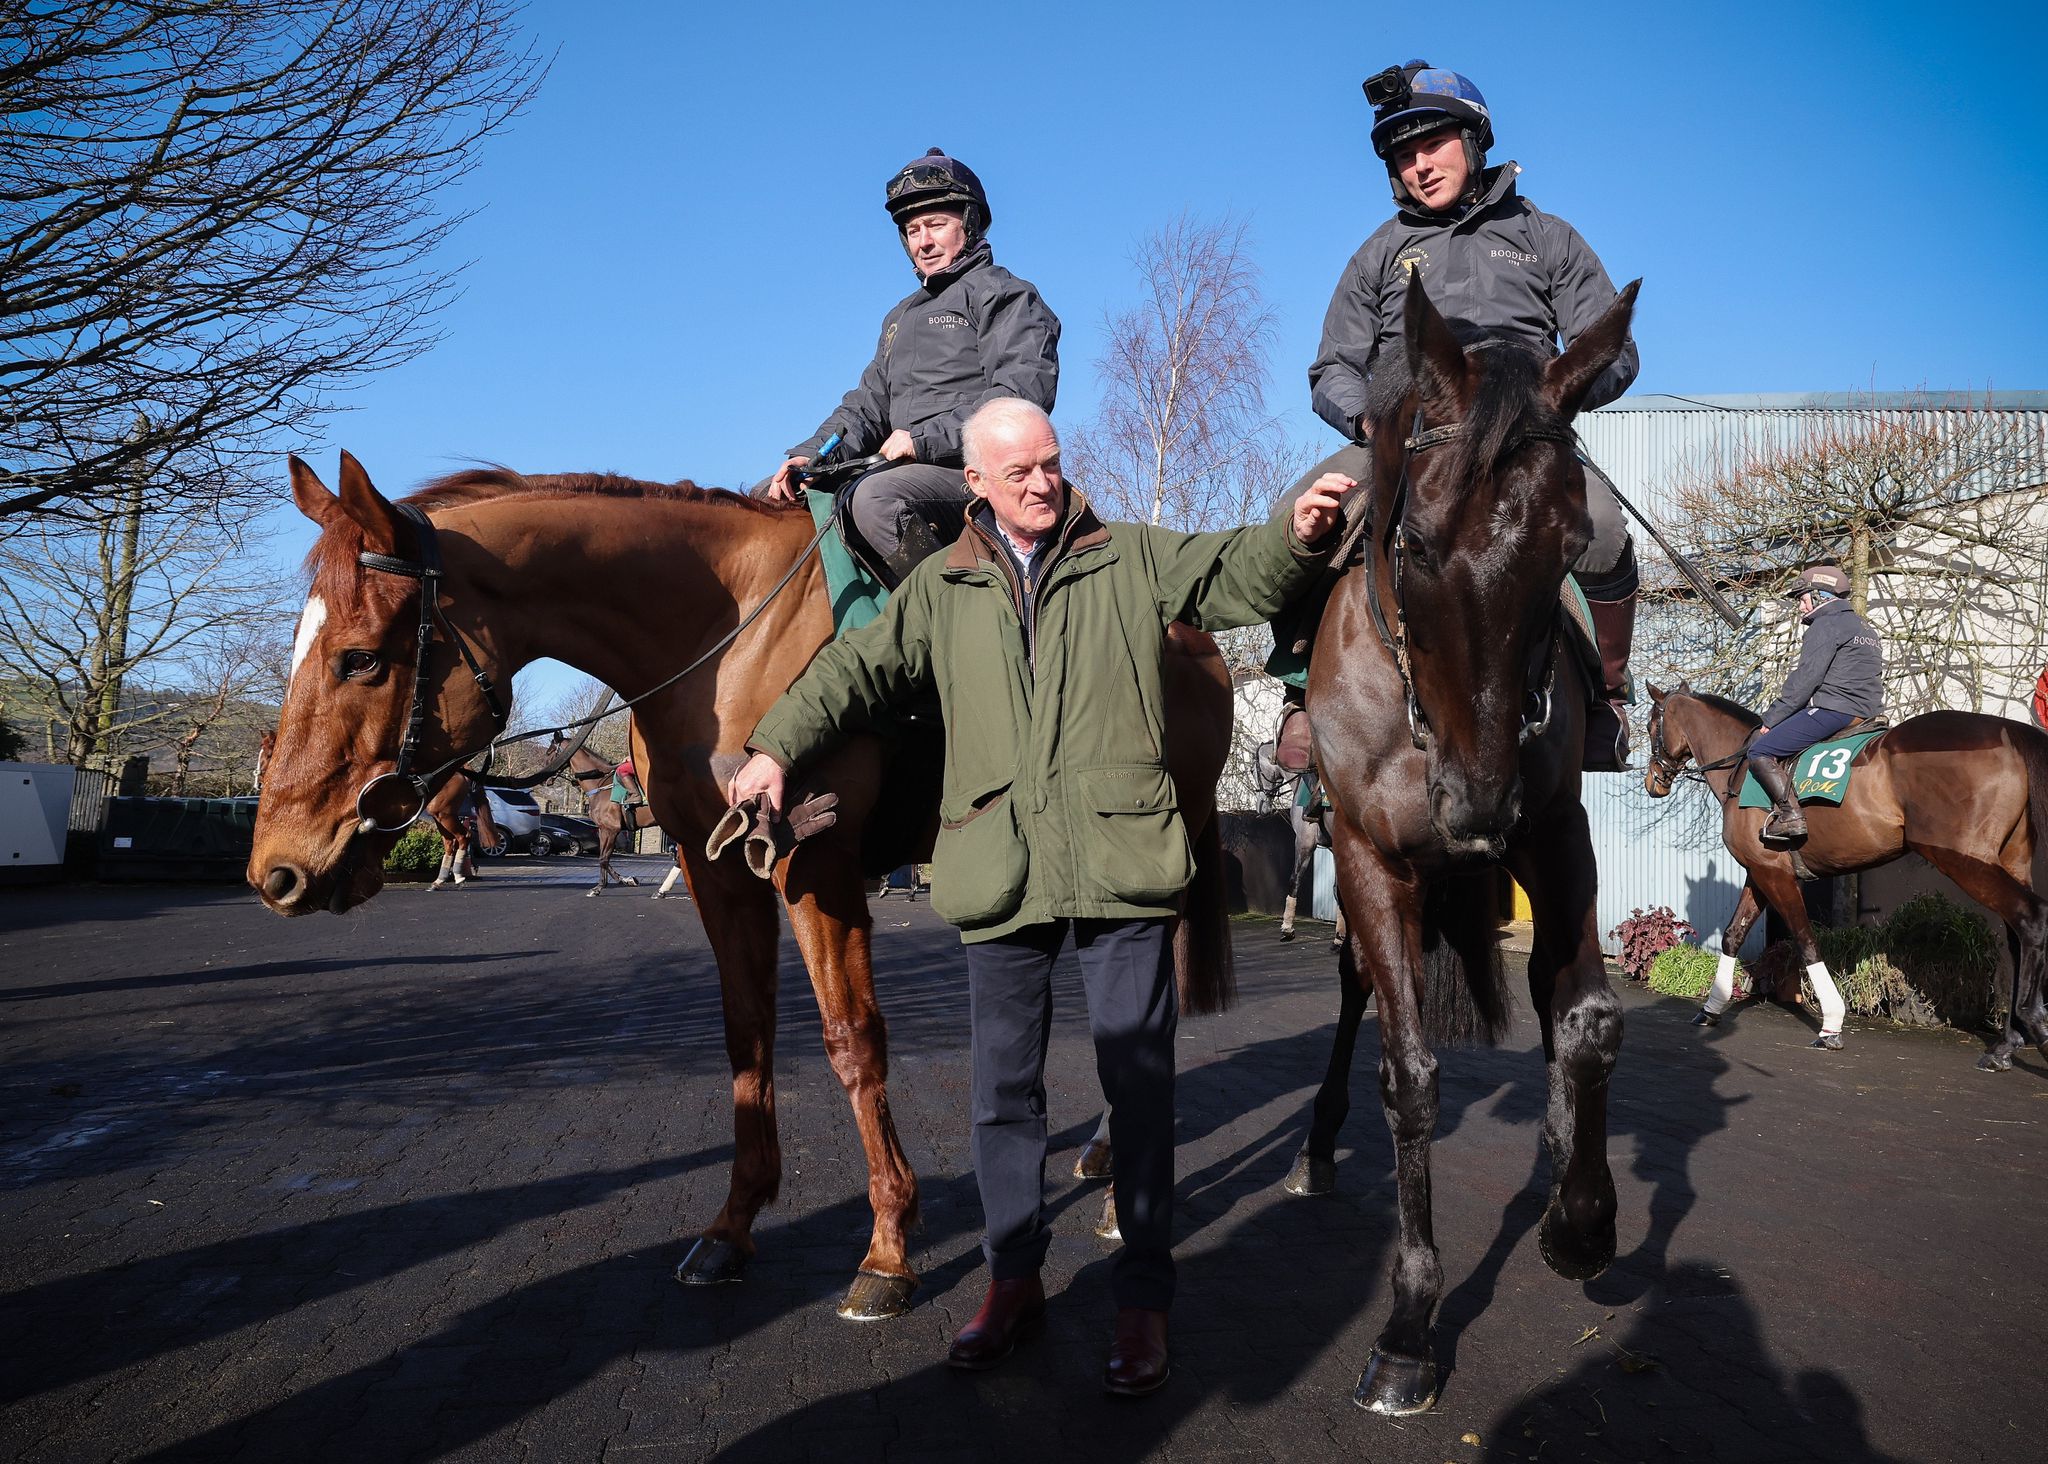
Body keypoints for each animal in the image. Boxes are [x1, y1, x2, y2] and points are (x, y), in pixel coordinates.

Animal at [239, 452, 1228, 1326]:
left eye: (361, 659)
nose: (275, 870)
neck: (731, 639)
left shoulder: (814, 869)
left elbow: (851, 1041)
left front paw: (888, 1250)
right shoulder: (719, 869)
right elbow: (745, 1038)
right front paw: (734, 1227)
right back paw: (1102, 1161)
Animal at [1294, 268, 1646, 1416]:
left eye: (1564, 550)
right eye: (1409, 545)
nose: (1477, 803)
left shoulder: (1556, 834)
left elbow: (1586, 1020)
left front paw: (1581, 1223)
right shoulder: (1368, 858)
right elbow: (1407, 1077)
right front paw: (1409, 1325)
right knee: (1356, 992)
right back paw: (1315, 1147)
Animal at [1638, 679, 2048, 1072]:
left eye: (1650, 725)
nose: (1652, 781)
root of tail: (2006, 732)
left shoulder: (1775, 875)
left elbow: (1806, 942)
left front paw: (1832, 1024)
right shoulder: (1761, 871)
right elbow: (1733, 935)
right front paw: (1711, 1008)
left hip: (1964, 859)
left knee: (2030, 919)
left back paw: (2032, 1024)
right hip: (2008, 861)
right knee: (2018, 935)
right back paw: (2007, 1043)